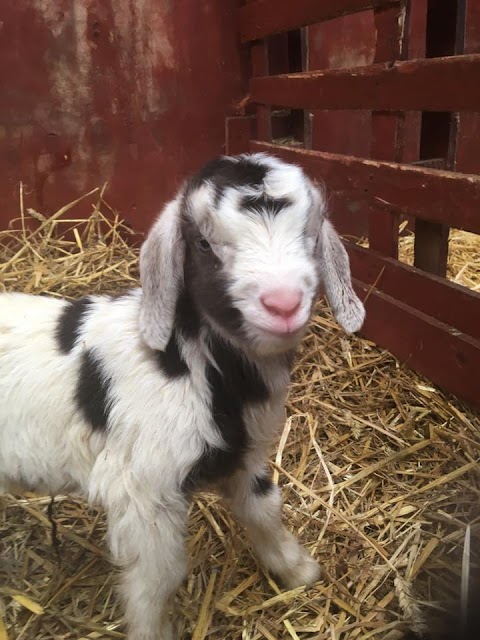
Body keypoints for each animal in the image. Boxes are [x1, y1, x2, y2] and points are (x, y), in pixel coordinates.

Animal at [0, 152, 366, 636]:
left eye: (310, 230)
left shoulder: (244, 457)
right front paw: (153, 631)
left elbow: (265, 507)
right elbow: (157, 579)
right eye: (203, 244)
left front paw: (297, 570)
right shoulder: (144, 489)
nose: (283, 303)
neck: (199, 367)